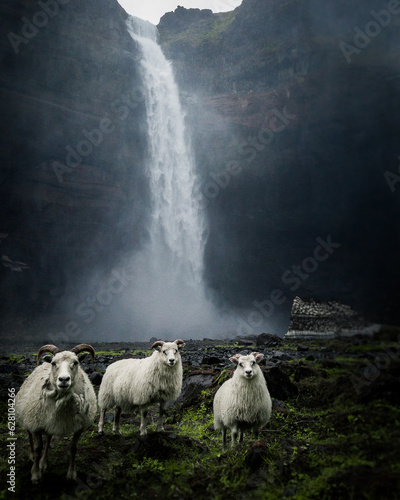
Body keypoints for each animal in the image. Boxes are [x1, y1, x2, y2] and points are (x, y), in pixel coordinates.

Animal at [14, 346, 96, 482]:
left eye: (76, 363)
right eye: (54, 363)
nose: (63, 379)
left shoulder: (80, 427)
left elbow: (73, 448)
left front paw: (72, 473)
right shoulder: (36, 425)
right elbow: (38, 448)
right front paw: (35, 474)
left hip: (49, 422)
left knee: (48, 439)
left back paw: (43, 462)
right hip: (27, 415)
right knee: (29, 434)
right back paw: (32, 455)